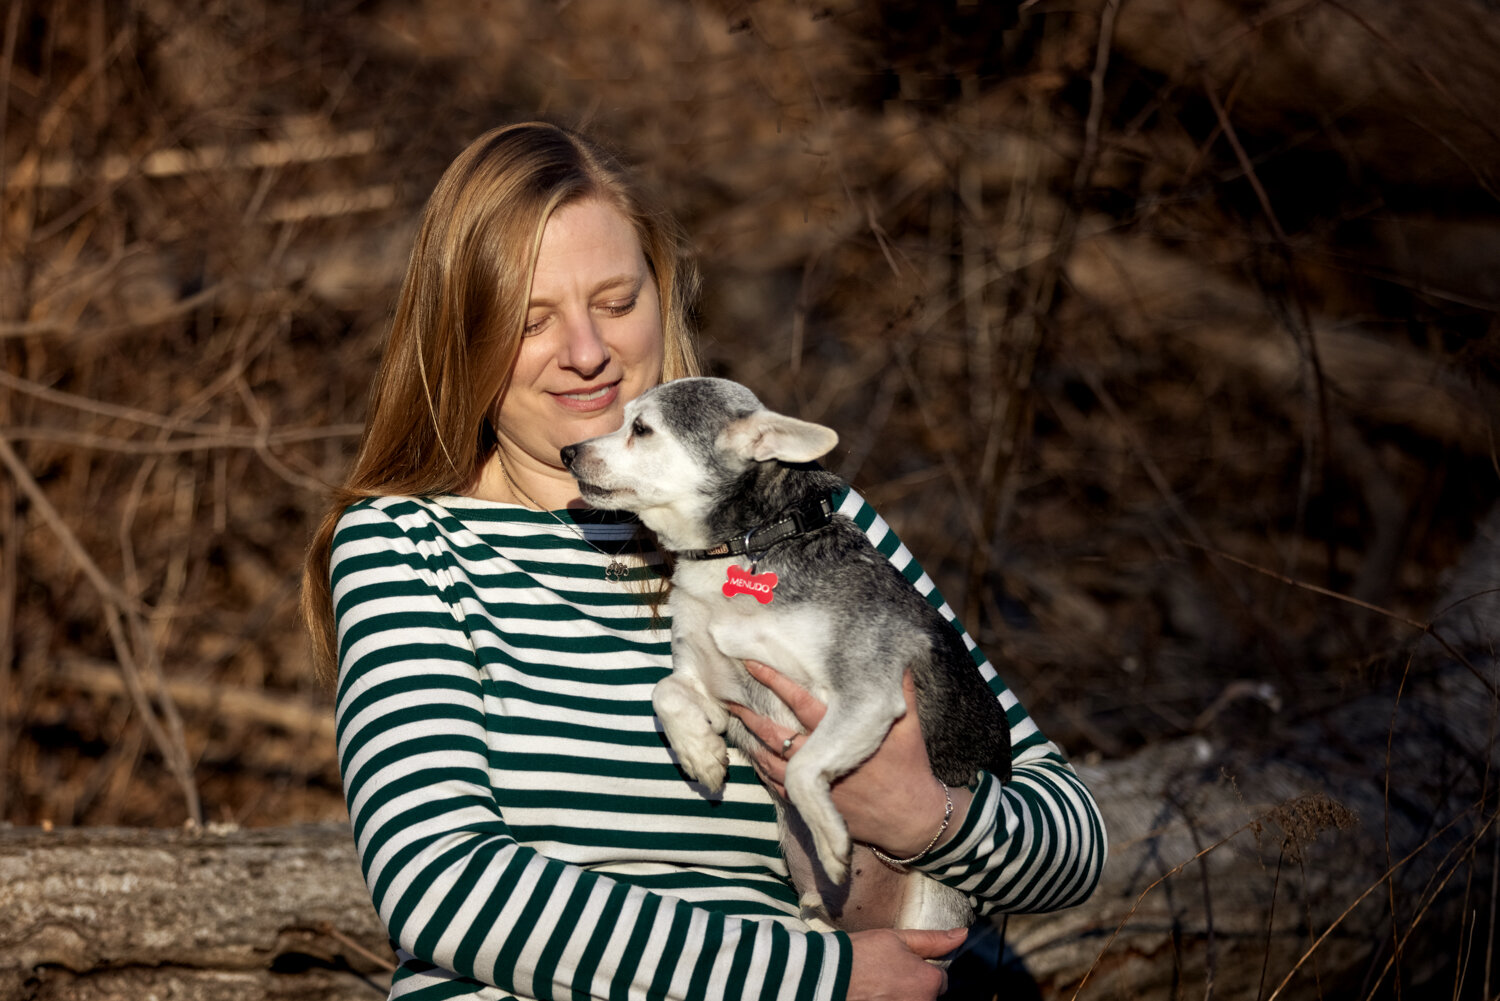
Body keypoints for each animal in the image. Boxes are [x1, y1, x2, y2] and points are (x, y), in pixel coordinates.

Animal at [558, 375, 1014, 930]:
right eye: (622, 420)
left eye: (641, 430)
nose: (567, 451)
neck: (742, 547)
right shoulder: (715, 689)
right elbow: (664, 691)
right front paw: (699, 754)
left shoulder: (865, 694)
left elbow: (802, 767)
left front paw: (831, 839)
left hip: (932, 922)